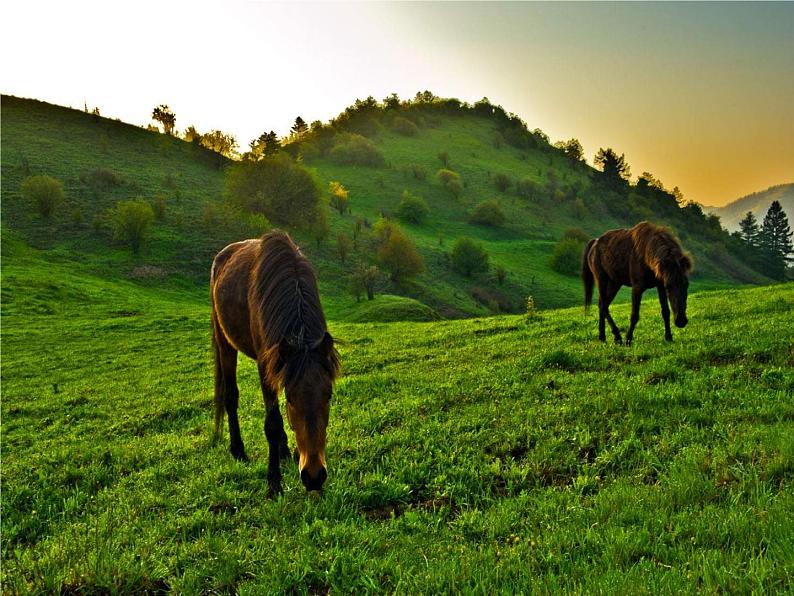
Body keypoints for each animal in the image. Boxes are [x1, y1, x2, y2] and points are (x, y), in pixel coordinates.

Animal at [210, 229, 338, 494]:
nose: (314, 476)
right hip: (225, 344)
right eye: (291, 398)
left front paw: (291, 453)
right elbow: (273, 422)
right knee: (230, 396)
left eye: (329, 395)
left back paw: (283, 451)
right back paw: (238, 450)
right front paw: (273, 482)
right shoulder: (264, 365)